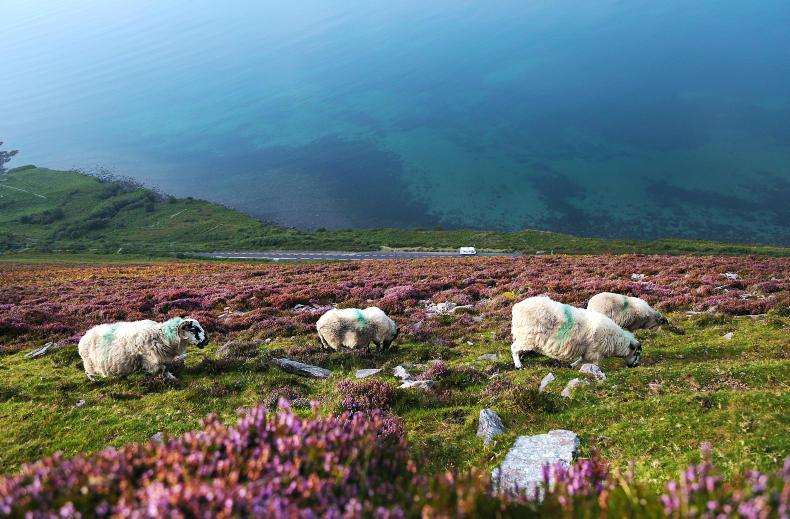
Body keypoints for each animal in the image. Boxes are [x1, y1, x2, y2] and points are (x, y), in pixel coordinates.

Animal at [78, 317, 208, 380]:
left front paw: (172, 378)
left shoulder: (162, 358)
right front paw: (149, 378)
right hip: (89, 363)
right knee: (88, 373)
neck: (162, 336)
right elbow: (160, 369)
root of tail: (84, 336)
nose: (207, 340)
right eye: (193, 329)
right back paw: (94, 381)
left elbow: (165, 368)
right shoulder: (151, 360)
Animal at [511, 296, 641, 369]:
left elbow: (581, 359)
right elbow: (592, 362)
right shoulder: (594, 351)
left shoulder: (587, 350)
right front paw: (595, 370)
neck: (616, 341)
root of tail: (516, 307)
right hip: (527, 336)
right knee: (514, 348)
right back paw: (519, 366)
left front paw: (572, 365)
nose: (635, 366)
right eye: (636, 353)